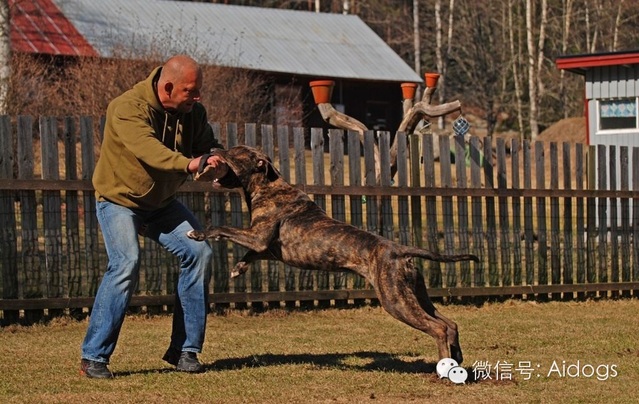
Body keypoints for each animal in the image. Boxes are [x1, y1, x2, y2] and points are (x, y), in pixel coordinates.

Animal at [190, 146, 480, 366]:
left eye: (234, 151)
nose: (213, 149)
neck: (267, 186)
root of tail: (399, 251)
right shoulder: (267, 248)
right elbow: (249, 254)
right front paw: (238, 268)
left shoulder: (257, 237)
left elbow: (222, 228)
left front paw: (199, 233)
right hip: (415, 293)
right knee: (450, 323)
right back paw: (457, 360)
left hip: (396, 300)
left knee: (438, 327)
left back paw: (443, 368)